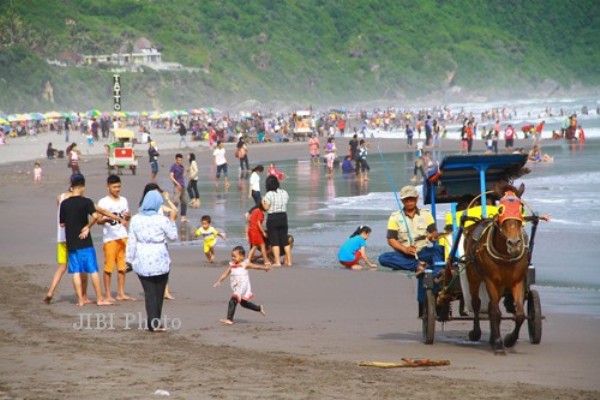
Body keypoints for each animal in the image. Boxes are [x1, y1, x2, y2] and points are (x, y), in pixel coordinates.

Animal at [464, 182, 528, 354]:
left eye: (521, 208)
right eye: (500, 210)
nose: (514, 243)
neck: (505, 256)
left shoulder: (517, 281)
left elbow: (520, 314)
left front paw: (509, 340)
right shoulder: (490, 280)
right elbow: (495, 312)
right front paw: (499, 343)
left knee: (491, 305)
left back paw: (493, 338)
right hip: (473, 275)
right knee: (477, 303)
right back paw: (476, 333)